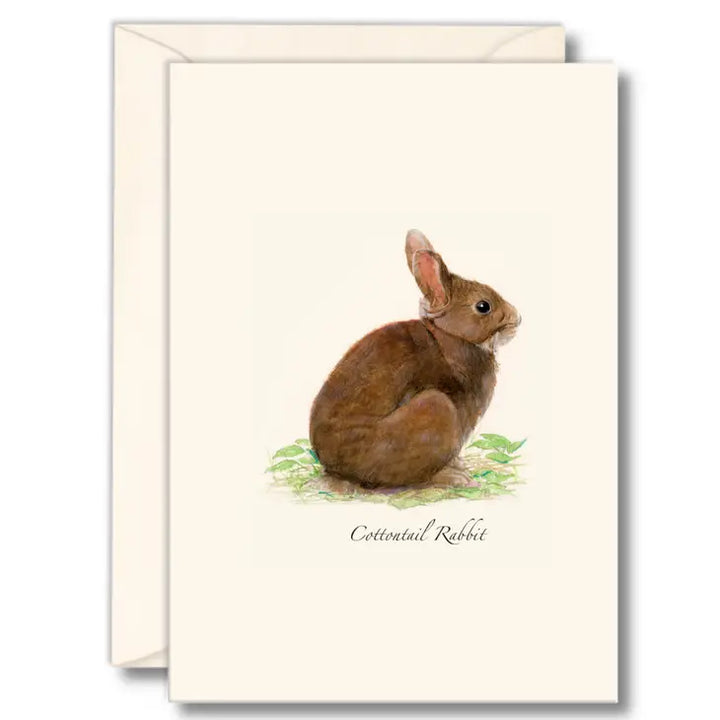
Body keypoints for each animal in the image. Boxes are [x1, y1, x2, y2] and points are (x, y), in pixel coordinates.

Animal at [309, 229, 521, 489]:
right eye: (483, 306)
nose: (517, 318)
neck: (449, 337)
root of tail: (335, 465)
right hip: (435, 409)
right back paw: (456, 478)